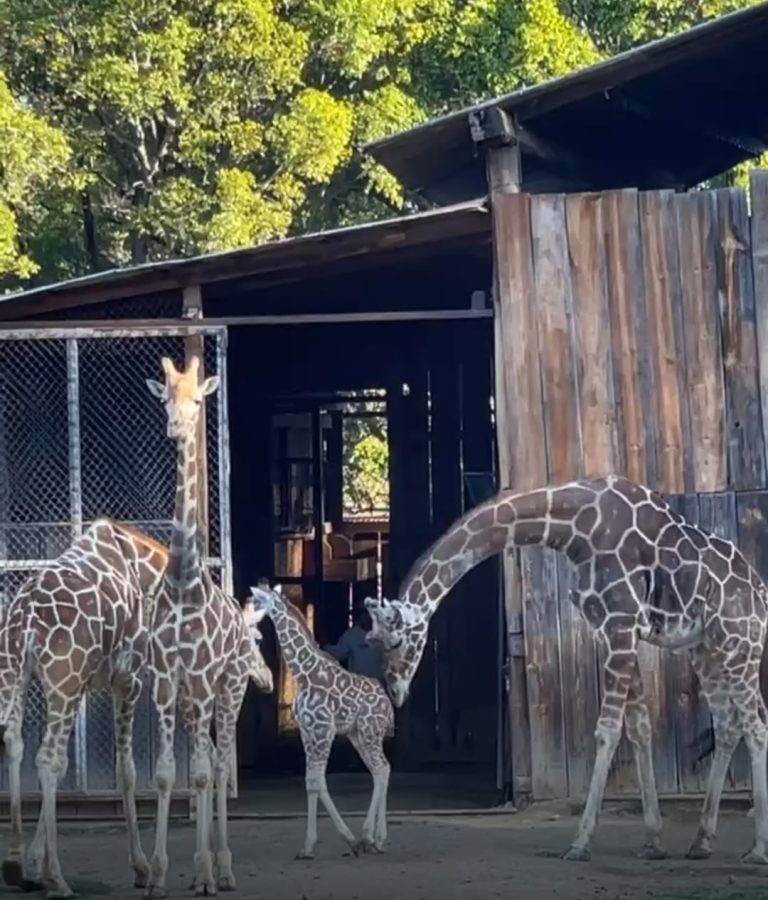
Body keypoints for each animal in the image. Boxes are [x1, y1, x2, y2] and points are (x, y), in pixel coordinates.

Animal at [0, 519, 168, 899]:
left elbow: (67, 768)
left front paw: (33, 863)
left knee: (15, 743)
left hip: (15, 672)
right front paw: (141, 868)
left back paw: (15, 863)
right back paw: (58, 879)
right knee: (46, 759)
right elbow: (126, 771)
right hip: (60, 677)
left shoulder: (81, 683)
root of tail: (25, 618)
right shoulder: (128, 678)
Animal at [249, 582, 393, 859]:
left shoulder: (323, 730)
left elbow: (316, 779)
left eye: (256, 601)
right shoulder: (308, 732)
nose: (247, 615)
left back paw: (369, 836)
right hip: (358, 734)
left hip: (370, 731)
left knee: (382, 768)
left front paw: (349, 840)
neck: (305, 673)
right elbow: (312, 782)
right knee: (380, 770)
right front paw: (307, 847)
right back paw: (377, 840)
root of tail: (388, 705)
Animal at [364, 475, 768, 865]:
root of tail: (761, 595)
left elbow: (607, 732)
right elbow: (639, 729)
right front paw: (653, 841)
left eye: (396, 641)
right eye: (374, 641)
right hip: (706, 649)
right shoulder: (612, 630)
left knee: (756, 724)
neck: (577, 525)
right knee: (728, 724)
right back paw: (701, 841)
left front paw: (580, 843)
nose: (396, 692)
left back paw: (757, 850)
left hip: (740, 644)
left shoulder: (620, 624)